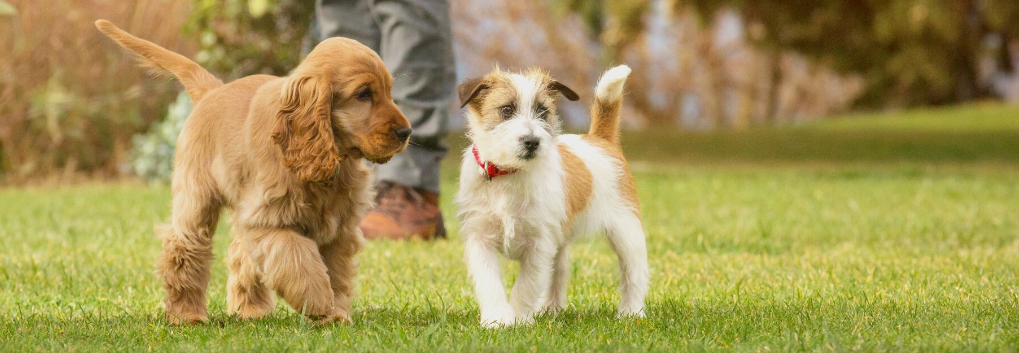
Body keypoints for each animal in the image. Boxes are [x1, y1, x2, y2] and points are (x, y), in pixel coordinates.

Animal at [94, 18, 409, 322]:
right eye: (363, 94)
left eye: (389, 92)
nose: (405, 132)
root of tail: (212, 91)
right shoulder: (270, 219)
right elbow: (297, 259)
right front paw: (319, 301)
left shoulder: (338, 227)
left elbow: (336, 274)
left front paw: (336, 315)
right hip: (196, 197)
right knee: (184, 249)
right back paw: (187, 315)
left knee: (240, 254)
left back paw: (250, 310)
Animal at [456, 65, 648, 328]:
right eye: (506, 110)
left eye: (542, 111)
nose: (532, 141)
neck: (509, 174)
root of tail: (600, 139)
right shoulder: (480, 238)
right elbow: (490, 282)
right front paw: (498, 320)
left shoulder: (539, 244)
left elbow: (526, 285)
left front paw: (519, 319)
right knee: (559, 272)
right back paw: (550, 310)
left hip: (627, 231)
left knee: (634, 273)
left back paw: (631, 312)